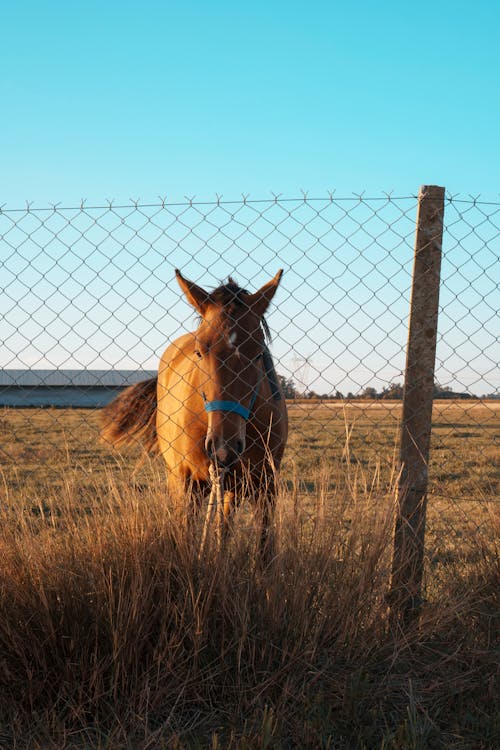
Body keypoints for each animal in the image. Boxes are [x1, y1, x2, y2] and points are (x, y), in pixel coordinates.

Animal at [100, 270, 290, 560]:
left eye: (259, 354)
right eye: (200, 352)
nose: (223, 447)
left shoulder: (266, 486)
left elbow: (262, 549)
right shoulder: (188, 484)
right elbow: (186, 542)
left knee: (224, 525)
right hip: (179, 478)